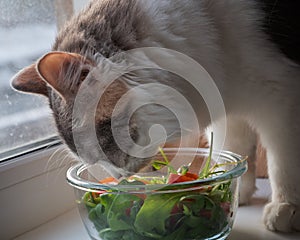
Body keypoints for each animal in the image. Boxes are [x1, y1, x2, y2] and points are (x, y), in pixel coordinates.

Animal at [9, 0, 300, 232]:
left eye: (107, 139)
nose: (123, 180)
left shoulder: (281, 96)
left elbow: (283, 164)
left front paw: (285, 206)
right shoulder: (231, 113)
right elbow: (237, 151)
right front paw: (236, 189)